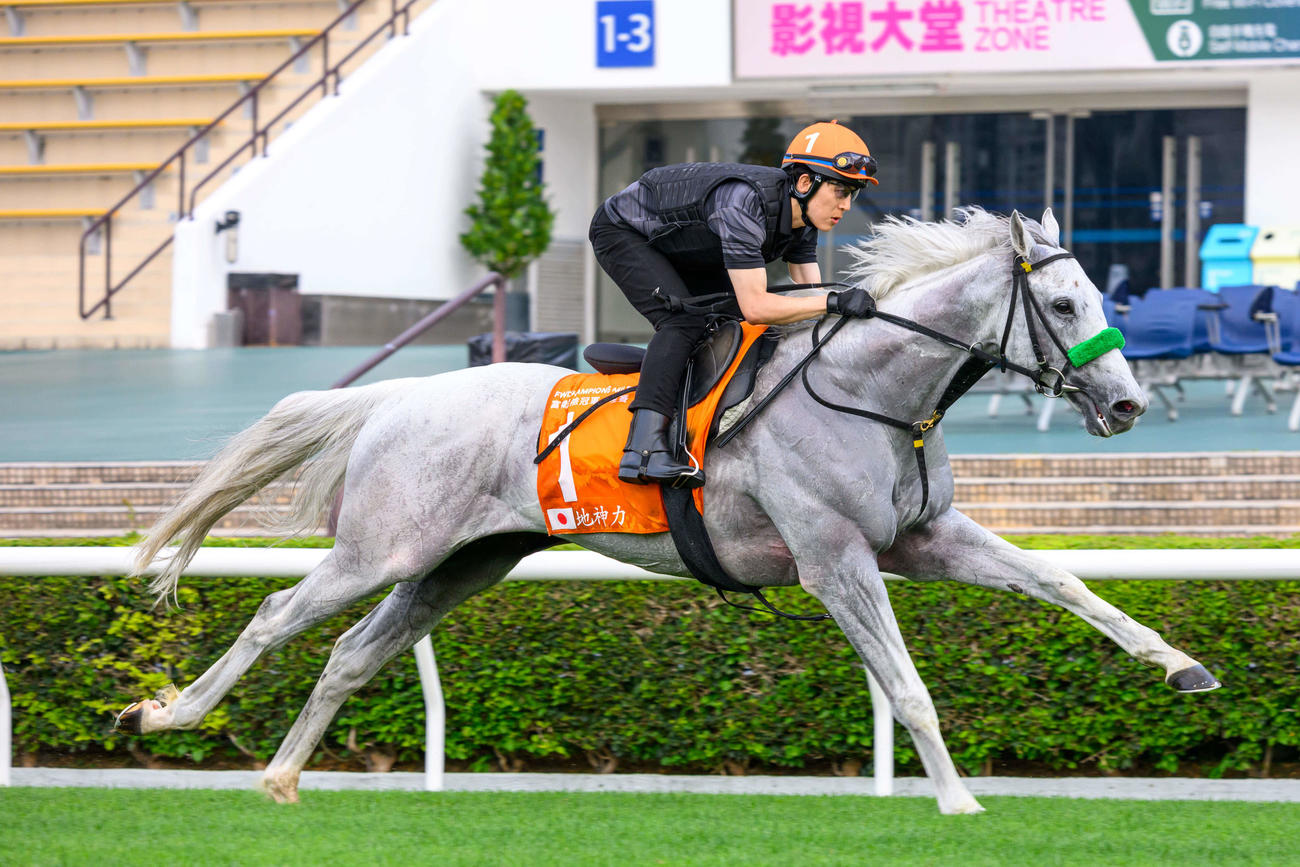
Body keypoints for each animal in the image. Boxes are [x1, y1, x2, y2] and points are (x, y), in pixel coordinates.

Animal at [118, 208, 1219, 814]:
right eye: (1066, 306)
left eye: (1099, 299)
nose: (1125, 403)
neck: (870, 390)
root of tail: (396, 396)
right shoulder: (835, 558)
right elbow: (906, 685)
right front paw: (956, 799)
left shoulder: (922, 537)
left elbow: (1063, 580)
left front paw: (1181, 665)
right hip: (381, 547)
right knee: (276, 617)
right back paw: (169, 712)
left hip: (460, 562)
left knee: (352, 653)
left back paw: (280, 777)